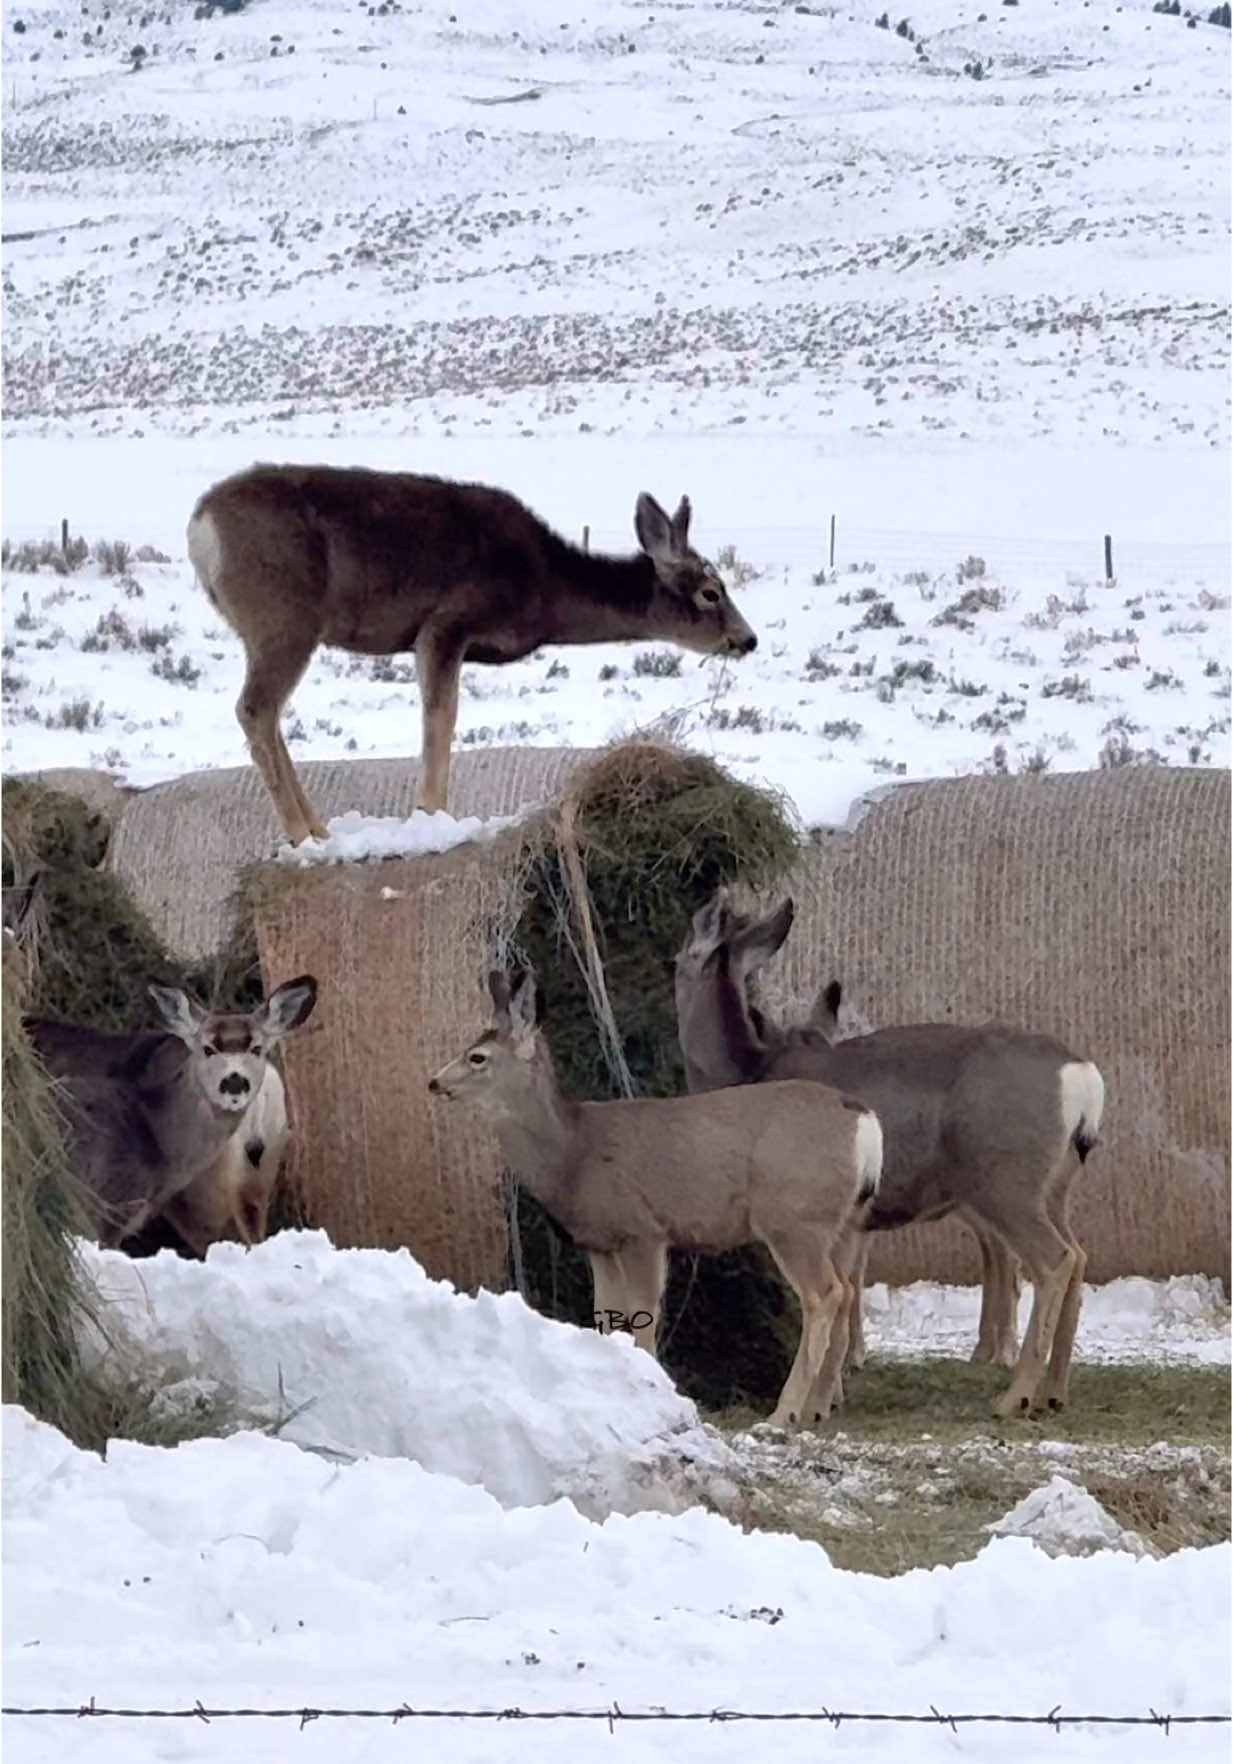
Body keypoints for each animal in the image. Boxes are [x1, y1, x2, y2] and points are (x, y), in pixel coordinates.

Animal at [186, 465, 758, 843]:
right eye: (711, 592)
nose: (747, 639)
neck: (545, 588)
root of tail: (200, 527)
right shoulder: (446, 622)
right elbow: (441, 720)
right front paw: (430, 817)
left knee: (268, 717)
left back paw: (321, 831)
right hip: (284, 619)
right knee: (254, 709)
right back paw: (302, 833)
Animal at [428, 973, 881, 1425]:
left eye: (477, 1057)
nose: (434, 1082)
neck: (574, 1152)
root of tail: (862, 1118)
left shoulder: (642, 1229)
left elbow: (642, 1310)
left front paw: (650, 1387)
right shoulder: (600, 1243)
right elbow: (605, 1314)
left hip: (793, 1216)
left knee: (824, 1294)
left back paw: (783, 1413)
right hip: (844, 1218)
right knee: (847, 1288)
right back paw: (819, 1407)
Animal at [673, 896, 1107, 1418]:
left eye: (678, 957)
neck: (748, 1072)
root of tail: (1081, 1077)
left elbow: (835, 1296)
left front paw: (817, 1402)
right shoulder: (854, 1223)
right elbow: (847, 1294)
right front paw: (827, 1398)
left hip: (1006, 1180)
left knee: (1055, 1260)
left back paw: (1015, 1395)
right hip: (1055, 1185)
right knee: (1079, 1255)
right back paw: (1053, 1391)